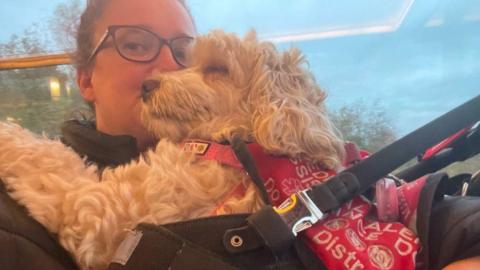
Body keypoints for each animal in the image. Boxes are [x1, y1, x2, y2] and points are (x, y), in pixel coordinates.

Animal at [0, 30, 344, 268]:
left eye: (218, 69)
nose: (147, 85)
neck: (231, 144)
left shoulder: (102, 212)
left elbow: (52, 160)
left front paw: (7, 135)